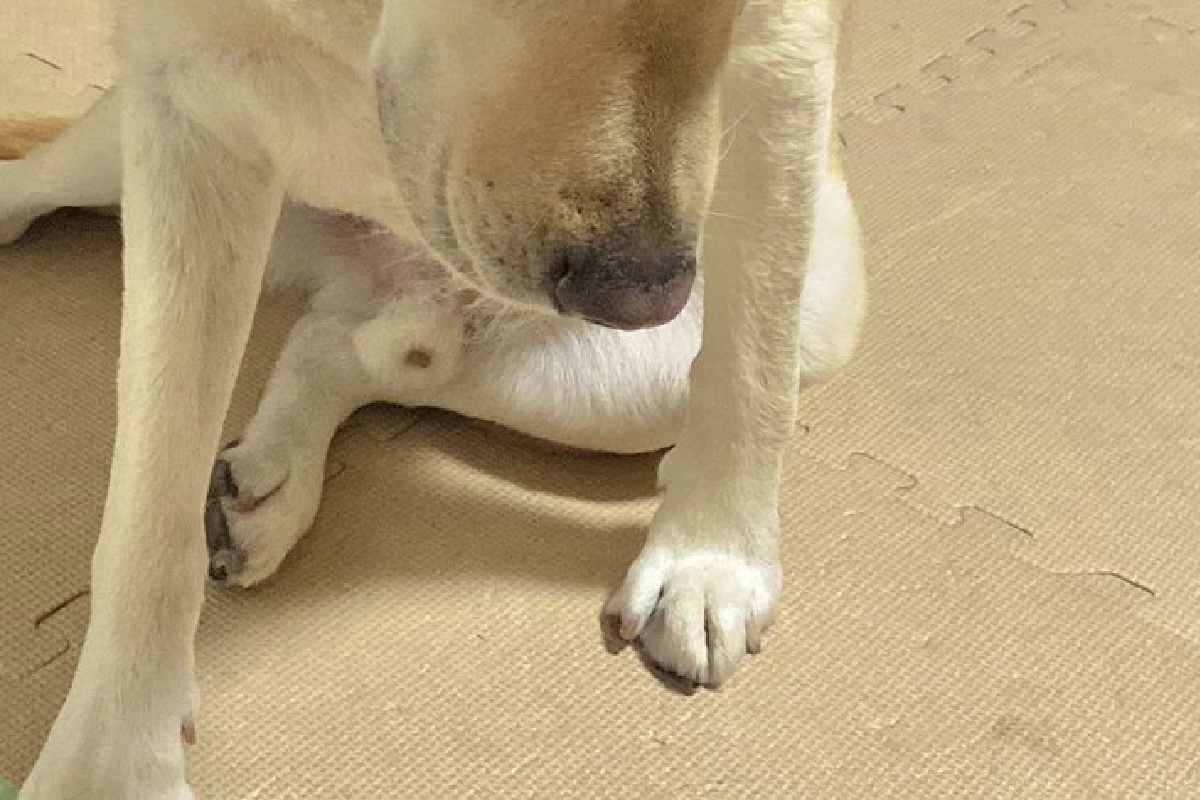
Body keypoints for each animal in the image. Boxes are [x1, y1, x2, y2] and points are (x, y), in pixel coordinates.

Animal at [0, 0, 863, 795]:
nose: (642, 296)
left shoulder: (786, 54)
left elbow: (750, 367)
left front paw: (711, 565)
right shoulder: (182, 97)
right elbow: (150, 511)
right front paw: (113, 754)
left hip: (693, 364)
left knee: (344, 344)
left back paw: (275, 479)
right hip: (116, 154)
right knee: (34, 177)